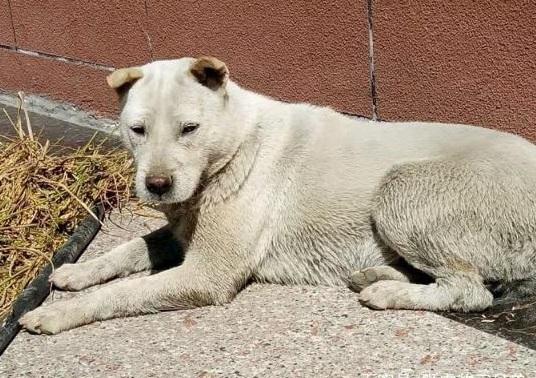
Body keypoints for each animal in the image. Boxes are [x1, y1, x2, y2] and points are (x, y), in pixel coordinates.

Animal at [21, 56, 536, 334]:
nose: (157, 186)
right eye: (137, 130)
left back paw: (389, 291)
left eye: (190, 128)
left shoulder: (207, 273)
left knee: (470, 291)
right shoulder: (181, 226)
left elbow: (125, 291)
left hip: (402, 188)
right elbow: (129, 249)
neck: (231, 148)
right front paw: (77, 271)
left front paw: (57, 313)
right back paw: (376, 273)